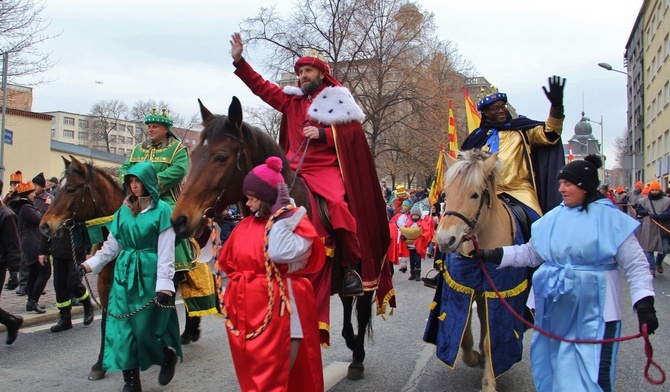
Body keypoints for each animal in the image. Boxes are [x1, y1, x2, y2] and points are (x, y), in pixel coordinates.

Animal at [39, 155, 124, 380]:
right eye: (58, 188)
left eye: (71, 189)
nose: (44, 226)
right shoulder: (104, 283)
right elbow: (105, 321)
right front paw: (100, 365)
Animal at [173, 95, 380, 380]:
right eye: (192, 155)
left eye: (221, 156)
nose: (180, 220)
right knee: (348, 304)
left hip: (370, 269)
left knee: (361, 309)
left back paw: (357, 358)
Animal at [428, 150, 532, 392]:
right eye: (445, 193)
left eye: (475, 195)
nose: (445, 240)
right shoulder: (464, 289)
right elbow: (465, 333)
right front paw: (473, 358)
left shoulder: (499, 294)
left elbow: (491, 338)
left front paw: (488, 382)